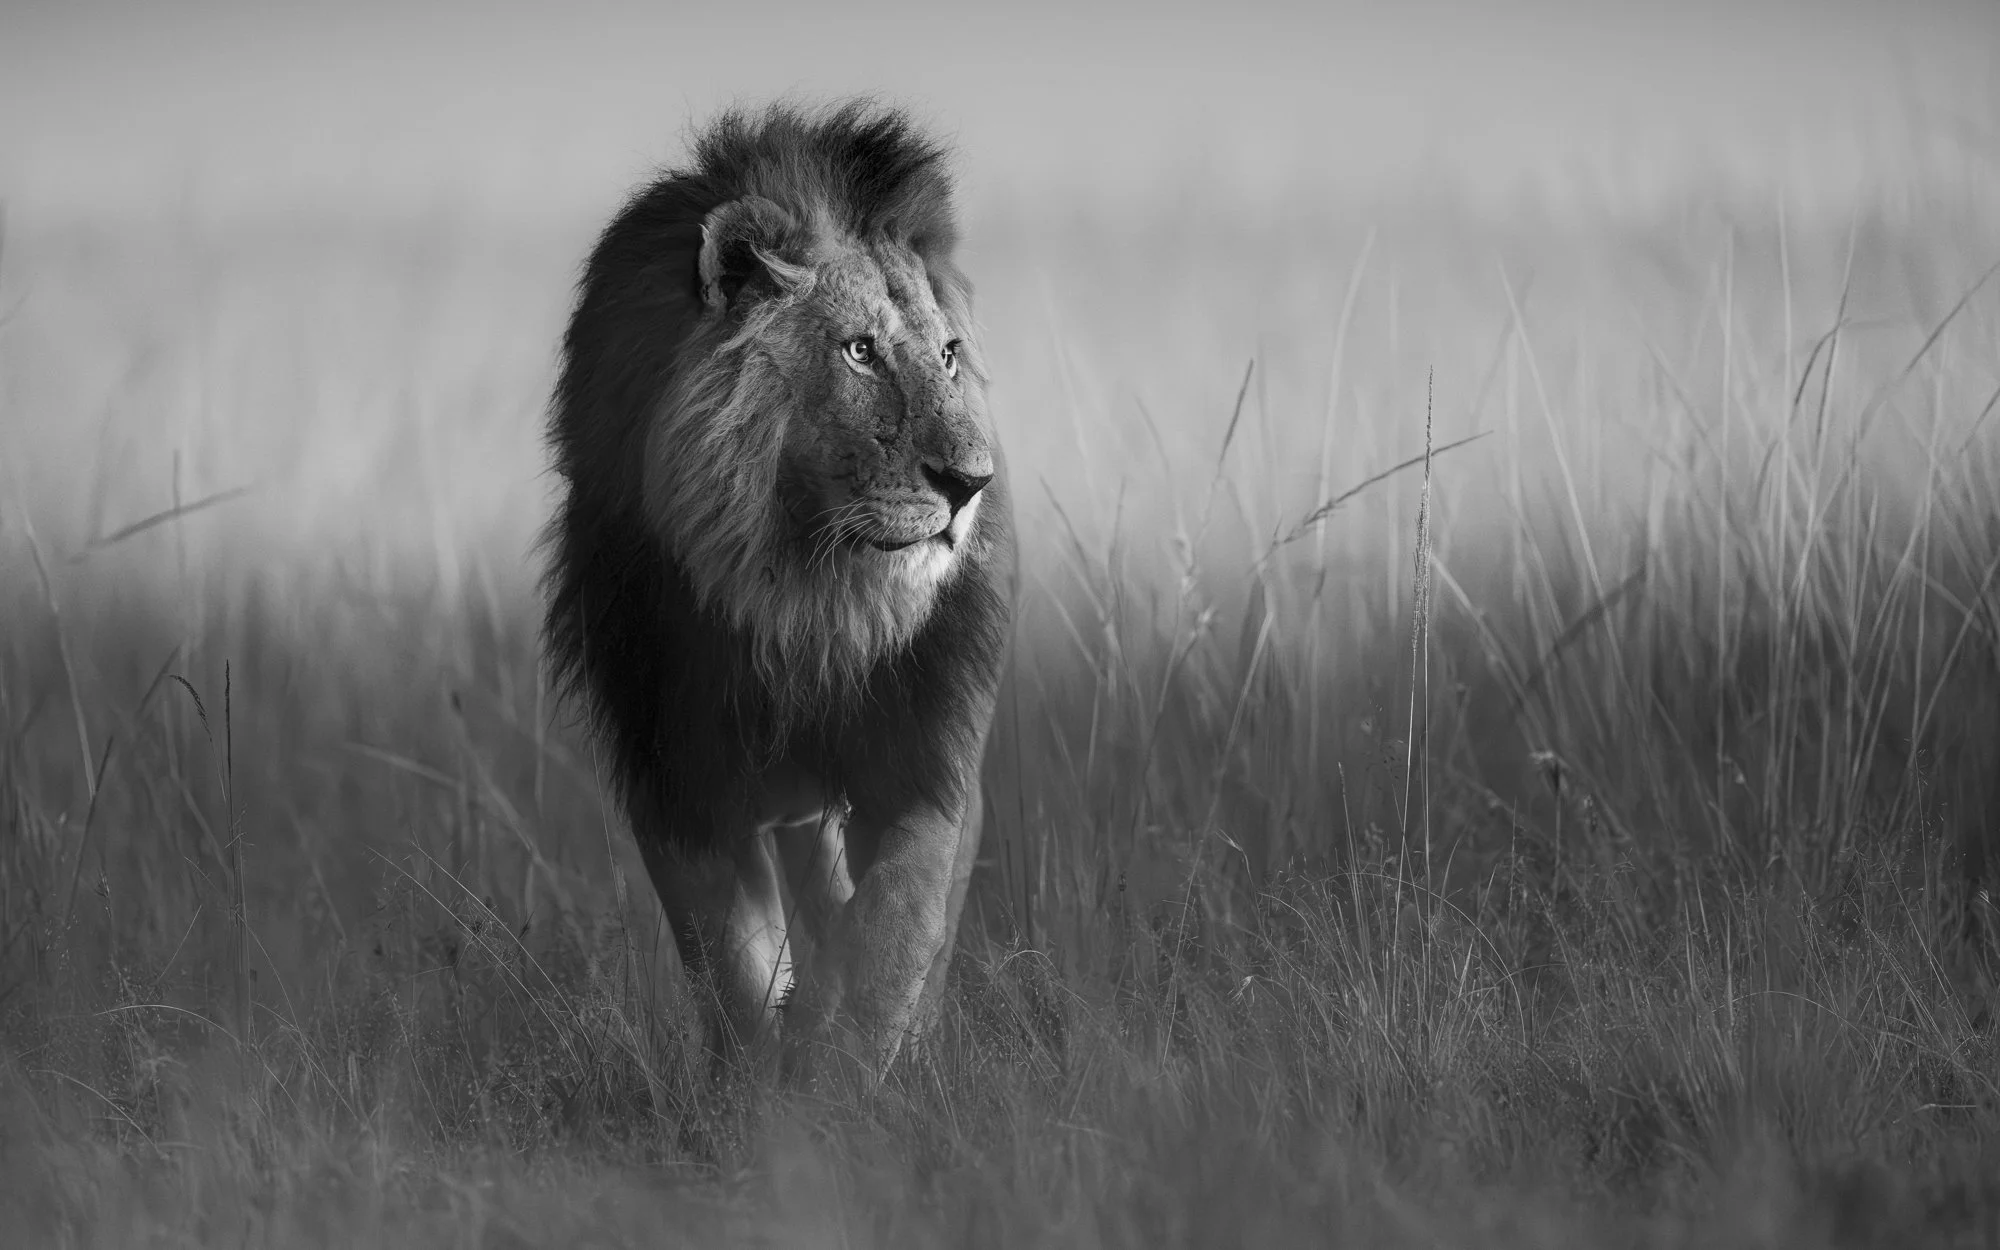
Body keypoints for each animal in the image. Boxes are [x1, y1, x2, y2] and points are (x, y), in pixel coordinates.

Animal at [542, 100, 1015, 1079]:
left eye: (949, 356)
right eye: (861, 351)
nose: (970, 482)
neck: (806, 598)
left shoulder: (923, 757)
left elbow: (894, 932)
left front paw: (844, 1077)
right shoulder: (676, 777)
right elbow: (727, 961)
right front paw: (765, 1076)